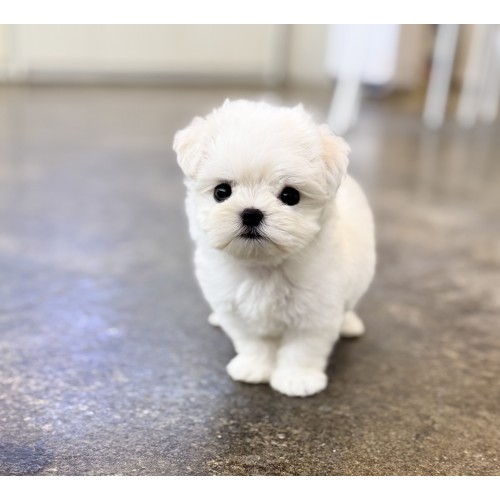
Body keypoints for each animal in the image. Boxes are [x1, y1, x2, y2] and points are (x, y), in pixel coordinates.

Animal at [173, 99, 375, 397]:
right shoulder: (235, 309)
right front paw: (254, 367)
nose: (251, 214)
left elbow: (302, 348)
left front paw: (297, 379)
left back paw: (349, 323)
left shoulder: (316, 312)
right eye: (221, 192)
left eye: (290, 195)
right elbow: (253, 342)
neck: (262, 266)